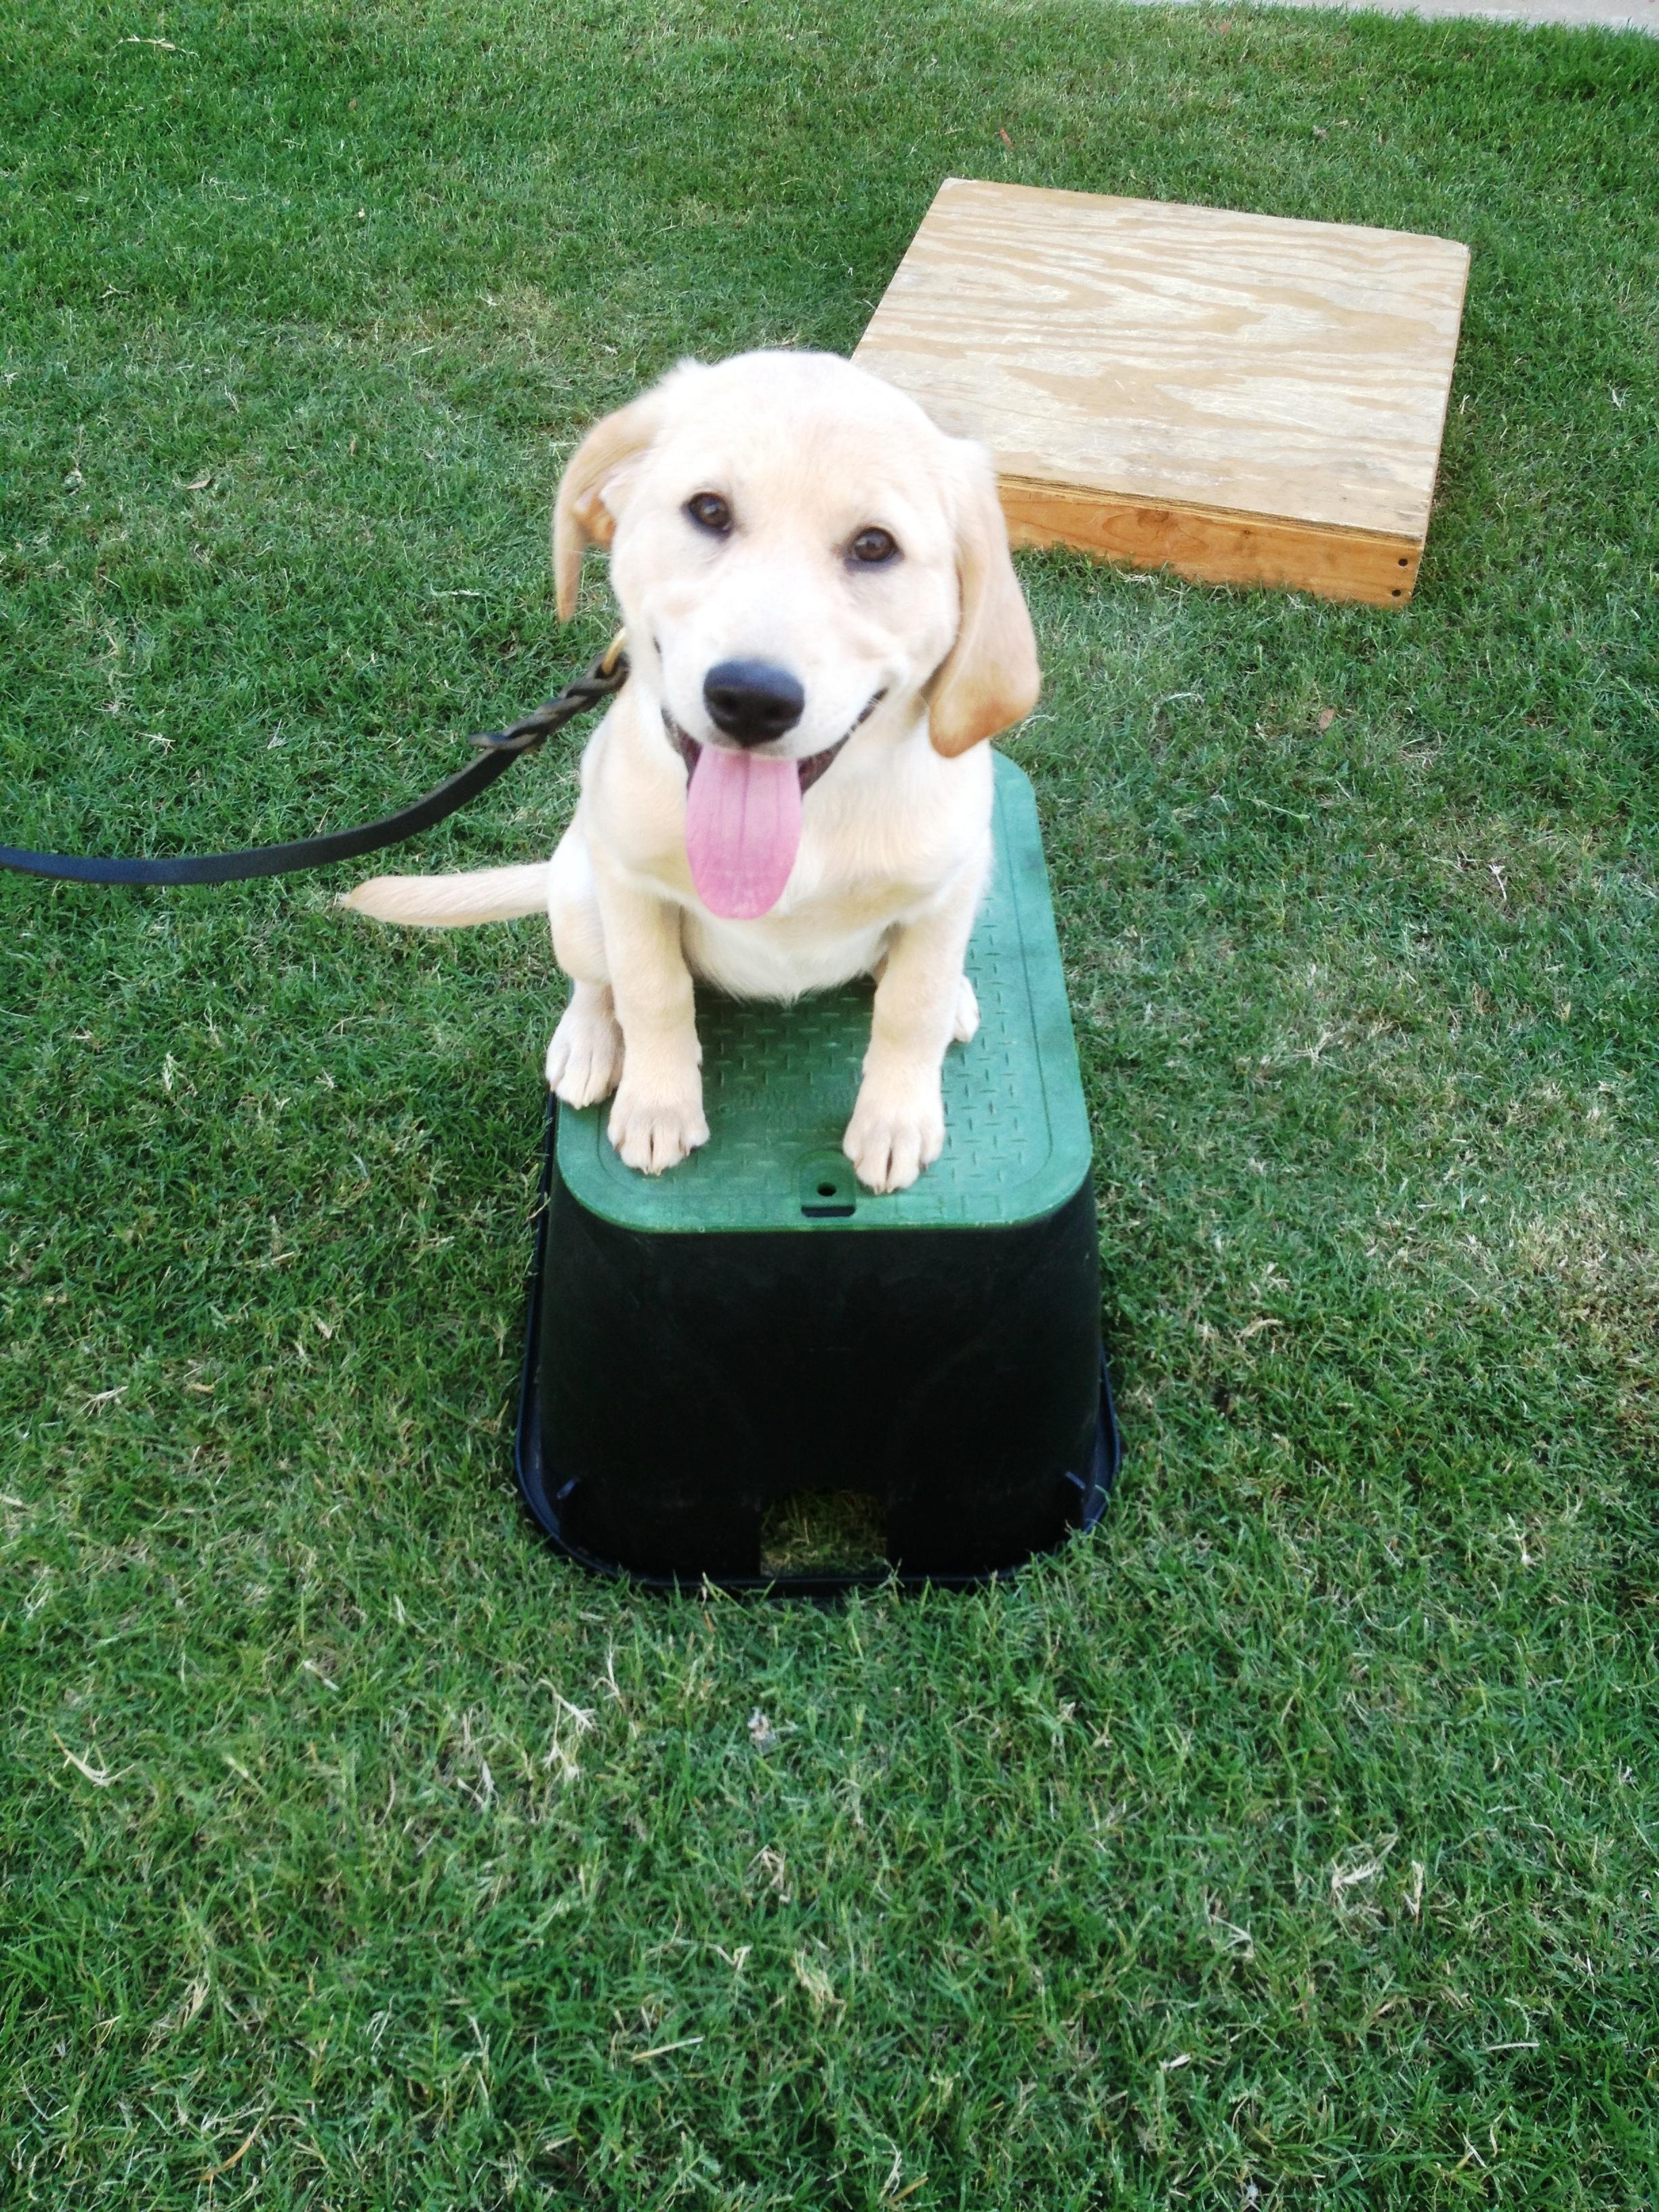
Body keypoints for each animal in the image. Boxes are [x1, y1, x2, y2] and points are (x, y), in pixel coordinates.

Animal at [349, 354, 1040, 1194]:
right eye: (708, 510)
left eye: (876, 546)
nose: (751, 699)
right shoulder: (631, 886)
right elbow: (652, 994)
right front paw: (659, 1108)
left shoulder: (946, 889)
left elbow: (914, 1006)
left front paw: (896, 1119)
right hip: (579, 888)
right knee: (595, 981)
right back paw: (588, 1042)